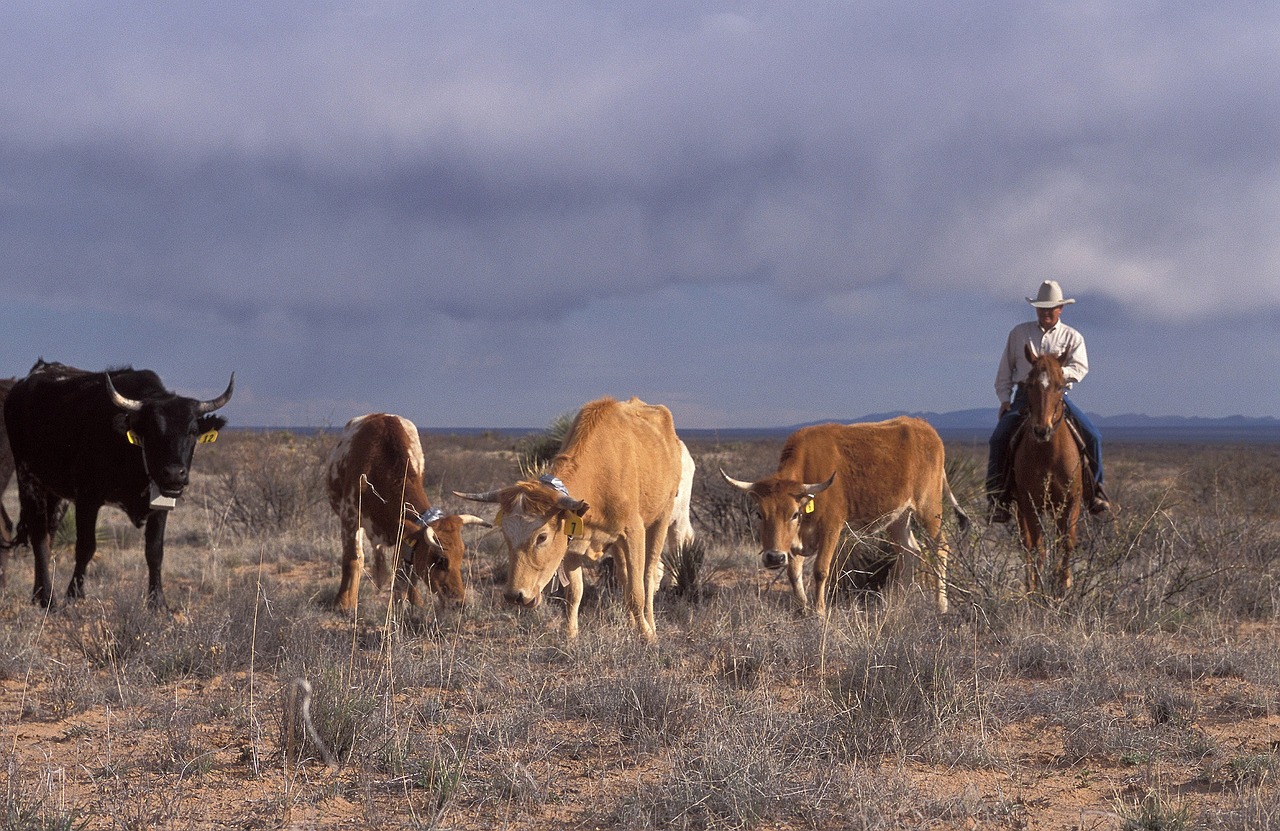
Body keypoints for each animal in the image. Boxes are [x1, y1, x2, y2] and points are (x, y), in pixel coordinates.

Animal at [4, 358, 232, 606]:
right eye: (151, 430)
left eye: (192, 431)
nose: (174, 474)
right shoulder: (87, 499)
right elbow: (85, 547)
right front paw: (74, 595)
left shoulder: (160, 506)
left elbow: (155, 552)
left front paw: (158, 602)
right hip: (28, 479)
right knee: (39, 538)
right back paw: (47, 598)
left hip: (56, 493)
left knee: (49, 534)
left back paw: (38, 595)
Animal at [325, 409, 488, 609]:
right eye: (440, 560)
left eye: (462, 555)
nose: (459, 602)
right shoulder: (350, 518)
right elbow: (352, 560)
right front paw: (344, 603)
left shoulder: (402, 532)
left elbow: (405, 566)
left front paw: (415, 601)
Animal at [455, 394, 686, 642]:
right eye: (506, 535)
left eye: (542, 537)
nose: (515, 595)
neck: (602, 474)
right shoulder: (574, 544)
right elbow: (575, 594)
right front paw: (570, 637)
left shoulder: (633, 532)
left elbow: (637, 592)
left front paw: (647, 635)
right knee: (624, 575)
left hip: (662, 517)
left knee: (649, 575)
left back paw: (649, 624)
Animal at [721, 417, 967, 612]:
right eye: (759, 514)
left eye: (794, 514)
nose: (773, 558)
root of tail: (924, 427)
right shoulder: (795, 541)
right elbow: (793, 571)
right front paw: (802, 609)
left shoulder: (831, 527)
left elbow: (820, 570)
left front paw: (819, 612)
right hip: (898, 516)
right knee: (910, 551)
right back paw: (898, 602)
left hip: (929, 508)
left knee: (940, 547)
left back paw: (941, 605)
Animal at [1013, 343, 1085, 596]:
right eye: (1029, 385)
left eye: (1060, 385)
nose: (1041, 430)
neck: (1049, 455)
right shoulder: (1030, 502)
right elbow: (1038, 544)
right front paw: (1038, 588)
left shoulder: (1072, 500)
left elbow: (1068, 541)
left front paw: (1064, 586)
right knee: (1028, 543)